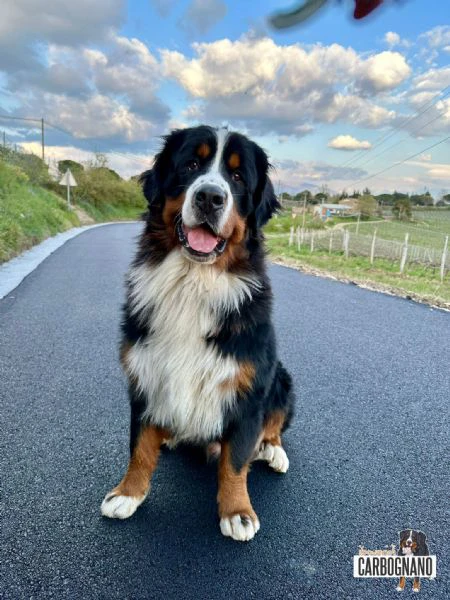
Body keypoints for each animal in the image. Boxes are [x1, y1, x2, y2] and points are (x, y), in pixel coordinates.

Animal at [100, 124, 294, 540]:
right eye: (190, 165)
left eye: (237, 177)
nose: (210, 197)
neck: (193, 282)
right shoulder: (144, 374)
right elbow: (139, 447)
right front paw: (128, 493)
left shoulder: (248, 388)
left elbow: (235, 461)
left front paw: (237, 512)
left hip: (282, 378)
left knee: (273, 426)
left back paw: (272, 449)